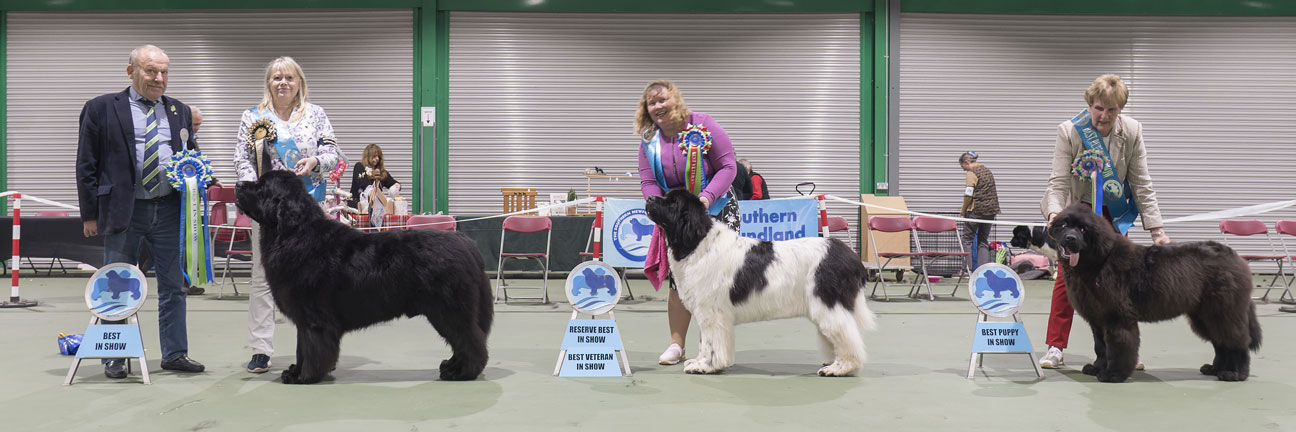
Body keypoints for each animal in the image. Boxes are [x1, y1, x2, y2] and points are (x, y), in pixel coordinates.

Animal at [235, 169, 492, 381]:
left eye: (260, 186)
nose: (237, 184)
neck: (294, 233)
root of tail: (468, 244)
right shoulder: (305, 318)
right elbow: (301, 349)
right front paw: (295, 371)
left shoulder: (313, 318)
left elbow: (310, 348)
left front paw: (304, 377)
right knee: (464, 340)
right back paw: (451, 367)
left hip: (448, 310)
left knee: (470, 340)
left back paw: (463, 373)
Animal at [642, 190, 876, 376]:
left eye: (673, 202)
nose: (650, 197)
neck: (697, 242)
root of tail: (851, 256)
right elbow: (704, 342)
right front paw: (699, 361)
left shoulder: (712, 313)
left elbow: (711, 343)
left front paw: (705, 366)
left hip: (829, 304)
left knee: (848, 337)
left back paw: (838, 368)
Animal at [1052, 202, 1254, 381]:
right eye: (1064, 225)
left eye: (1083, 229)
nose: (1070, 238)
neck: (1098, 261)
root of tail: (1235, 257)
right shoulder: (1097, 318)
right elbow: (1101, 347)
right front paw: (1097, 368)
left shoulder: (1117, 316)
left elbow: (1117, 346)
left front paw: (1113, 374)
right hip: (1204, 315)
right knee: (1220, 342)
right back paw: (1214, 369)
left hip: (1223, 311)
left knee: (1236, 341)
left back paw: (1234, 373)